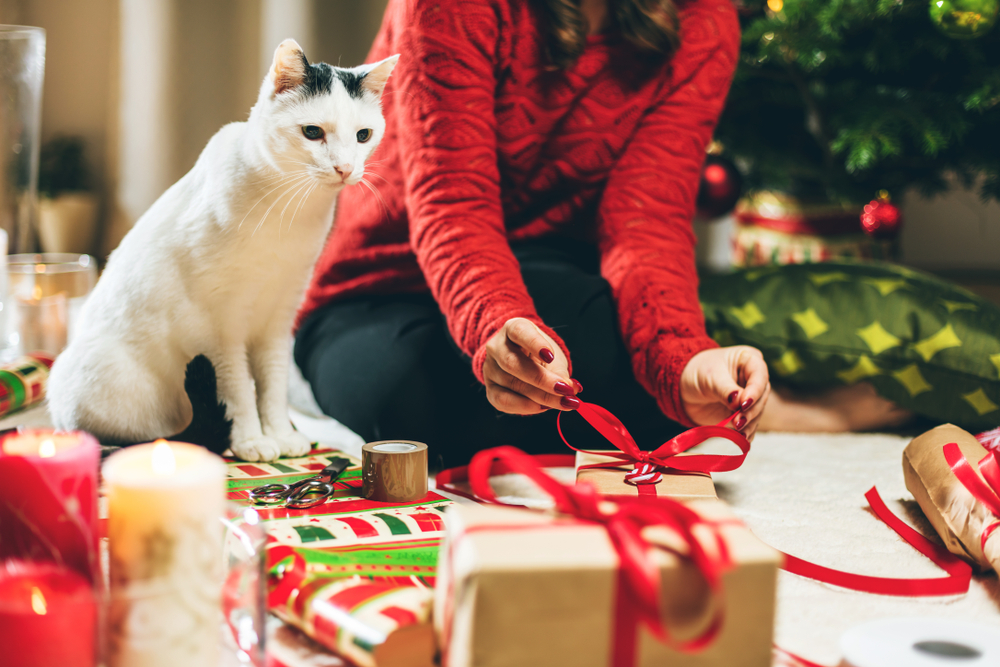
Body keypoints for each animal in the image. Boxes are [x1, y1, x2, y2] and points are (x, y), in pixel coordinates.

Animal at [47, 40, 398, 460]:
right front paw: (251, 440)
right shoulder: (218, 328)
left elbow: (272, 385)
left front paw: (280, 434)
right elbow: (237, 389)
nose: (345, 168)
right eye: (312, 132)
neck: (288, 213)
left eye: (363, 135)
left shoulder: (279, 318)